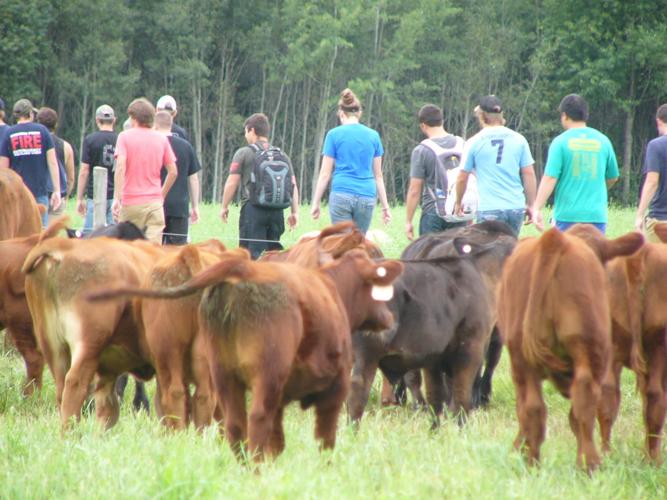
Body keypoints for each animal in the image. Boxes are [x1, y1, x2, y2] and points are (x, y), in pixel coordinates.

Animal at [347, 226, 516, 428]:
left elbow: (437, 398)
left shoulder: (434, 358)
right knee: (357, 395)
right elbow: (460, 395)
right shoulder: (471, 349)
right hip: (367, 355)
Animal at [497, 225, 643, 472]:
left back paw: (533, 462)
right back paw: (590, 463)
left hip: (521, 357)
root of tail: (555, 240)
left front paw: (518, 448)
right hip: (589, 348)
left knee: (533, 408)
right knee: (584, 400)